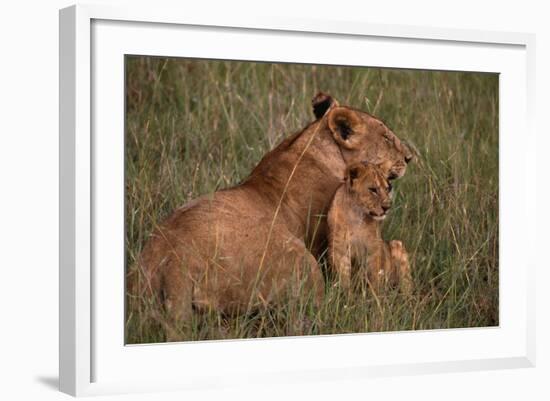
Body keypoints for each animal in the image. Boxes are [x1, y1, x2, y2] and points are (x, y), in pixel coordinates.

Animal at [328, 161, 414, 292]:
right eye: (373, 190)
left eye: (387, 188)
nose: (387, 207)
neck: (357, 214)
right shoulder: (340, 250)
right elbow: (344, 281)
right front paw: (346, 295)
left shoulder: (374, 249)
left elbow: (375, 280)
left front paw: (375, 296)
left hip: (397, 245)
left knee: (407, 286)